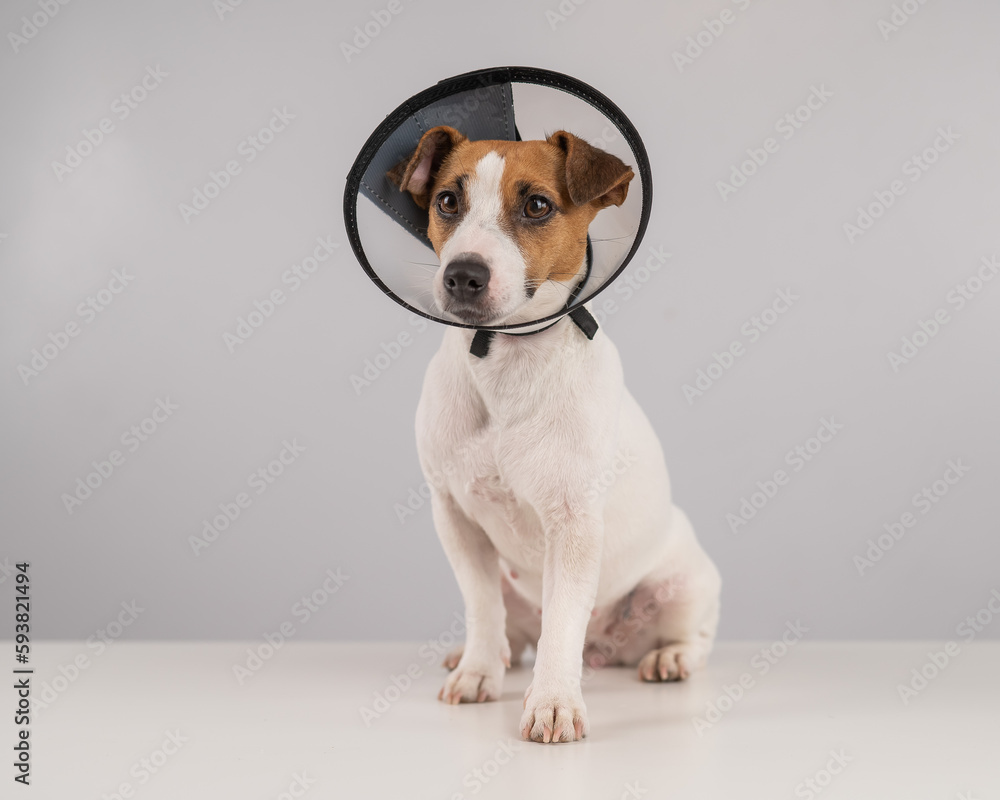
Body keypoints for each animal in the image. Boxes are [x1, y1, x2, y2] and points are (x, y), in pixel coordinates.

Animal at [386, 125, 724, 744]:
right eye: (447, 200)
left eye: (537, 206)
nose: (463, 273)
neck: (505, 359)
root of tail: (605, 649)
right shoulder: (455, 516)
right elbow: (481, 606)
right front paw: (477, 671)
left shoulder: (572, 523)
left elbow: (563, 621)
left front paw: (553, 702)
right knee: (510, 628)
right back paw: (483, 654)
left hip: (683, 585)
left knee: (693, 636)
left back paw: (670, 658)